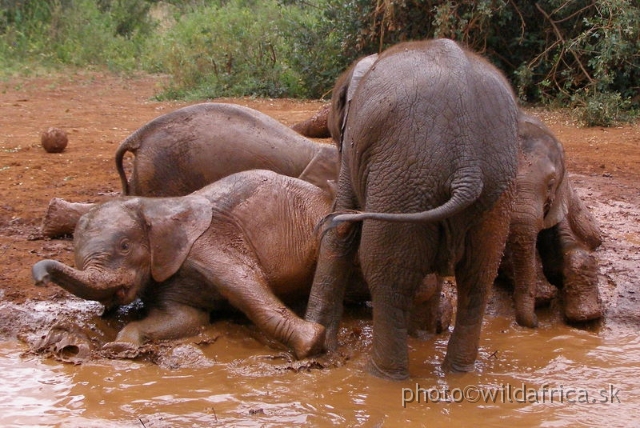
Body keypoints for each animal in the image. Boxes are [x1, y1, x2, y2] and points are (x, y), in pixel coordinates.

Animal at [302, 40, 524, 380]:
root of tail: (467, 164)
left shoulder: (355, 146)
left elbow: (342, 227)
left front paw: (320, 341)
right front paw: (423, 335)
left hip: (404, 172)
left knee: (387, 277)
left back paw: (381, 375)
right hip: (490, 186)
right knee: (478, 277)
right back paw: (458, 372)